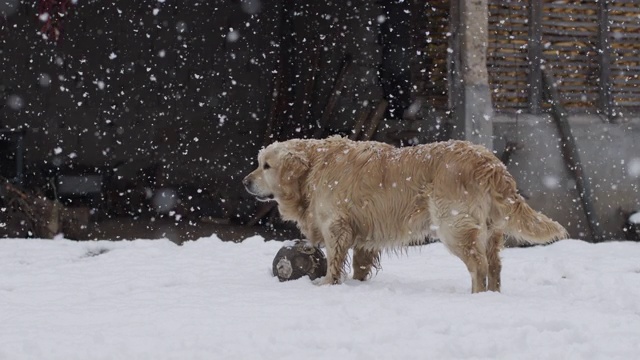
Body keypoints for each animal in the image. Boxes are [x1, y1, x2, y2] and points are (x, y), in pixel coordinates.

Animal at [242, 136, 568, 292]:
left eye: (265, 166)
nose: (245, 182)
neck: (314, 165)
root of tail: (490, 162)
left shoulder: (337, 227)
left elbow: (333, 263)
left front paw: (326, 286)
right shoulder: (363, 235)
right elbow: (360, 265)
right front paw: (358, 284)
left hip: (455, 227)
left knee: (479, 266)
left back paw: (476, 297)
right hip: (490, 230)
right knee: (495, 266)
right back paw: (493, 297)